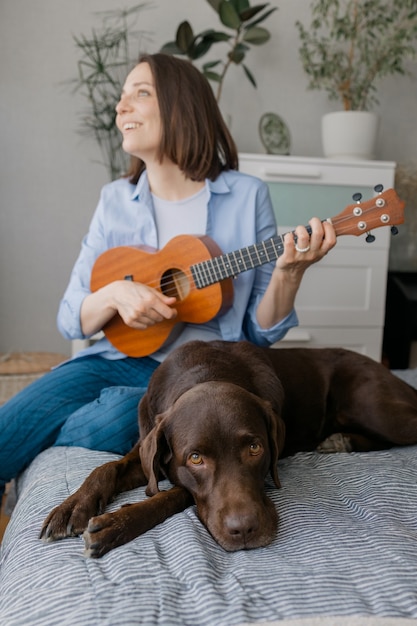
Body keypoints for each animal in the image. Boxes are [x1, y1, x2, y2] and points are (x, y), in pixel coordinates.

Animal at [40, 342, 416, 556]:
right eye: (195, 458)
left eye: (254, 448)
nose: (244, 531)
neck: (206, 370)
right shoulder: (149, 448)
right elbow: (108, 468)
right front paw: (74, 507)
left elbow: (172, 494)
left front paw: (115, 524)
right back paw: (342, 440)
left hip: (376, 407)